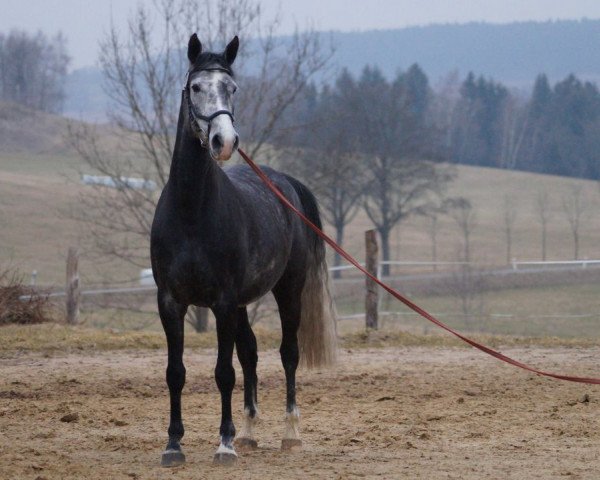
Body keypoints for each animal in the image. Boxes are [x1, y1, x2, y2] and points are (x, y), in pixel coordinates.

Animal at [150, 32, 338, 464]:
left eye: (232, 88)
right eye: (196, 86)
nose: (225, 141)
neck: (191, 211)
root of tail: (284, 183)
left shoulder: (221, 302)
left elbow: (224, 373)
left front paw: (224, 443)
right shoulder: (171, 302)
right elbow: (176, 372)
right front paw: (173, 445)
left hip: (287, 290)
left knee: (288, 353)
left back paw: (289, 433)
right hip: (240, 304)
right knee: (250, 352)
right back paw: (250, 433)